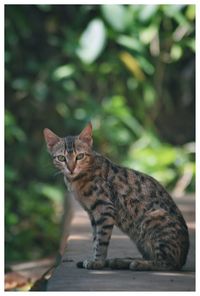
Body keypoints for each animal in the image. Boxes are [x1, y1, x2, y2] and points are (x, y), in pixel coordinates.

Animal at [43, 121, 189, 270]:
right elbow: (95, 239)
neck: (76, 180)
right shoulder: (92, 213)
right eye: (61, 158)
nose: (71, 168)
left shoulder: (104, 209)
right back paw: (121, 261)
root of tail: (183, 258)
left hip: (155, 218)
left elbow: (101, 241)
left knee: (166, 263)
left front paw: (98, 262)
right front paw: (95, 259)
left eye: (80, 156)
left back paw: (138, 264)